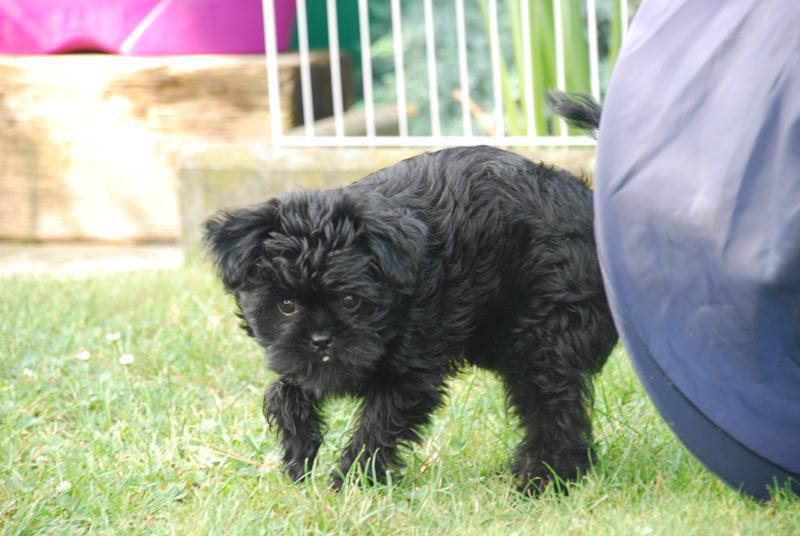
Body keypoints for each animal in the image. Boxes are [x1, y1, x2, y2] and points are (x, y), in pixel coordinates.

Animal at [204, 115, 616, 493]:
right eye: (286, 305)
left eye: (351, 300)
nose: (321, 340)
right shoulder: (299, 359)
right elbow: (283, 392)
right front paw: (298, 454)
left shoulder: (410, 372)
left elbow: (376, 426)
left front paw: (350, 482)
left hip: (545, 339)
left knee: (553, 407)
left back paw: (544, 479)